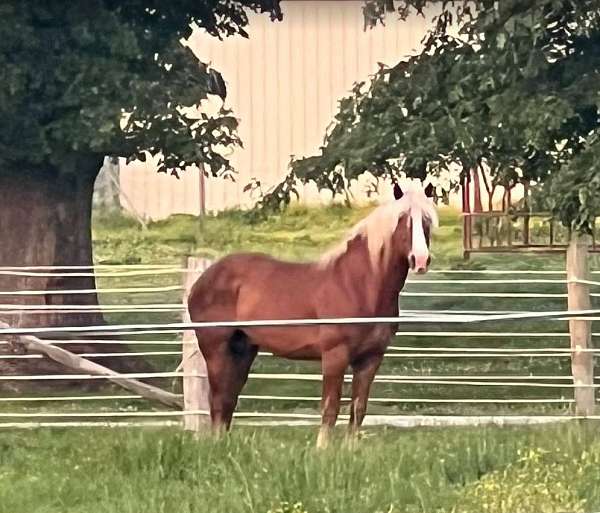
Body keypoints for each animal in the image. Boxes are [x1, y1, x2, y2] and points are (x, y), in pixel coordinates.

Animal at [188, 182, 436, 446]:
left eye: (427, 221)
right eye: (402, 220)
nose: (420, 260)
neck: (358, 285)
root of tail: (203, 279)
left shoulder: (371, 358)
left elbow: (358, 409)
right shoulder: (335, 355)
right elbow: (330, 407)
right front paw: (322, 448)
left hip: (243, 349)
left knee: (228, 400)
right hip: (216, 350)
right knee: (218, 401)